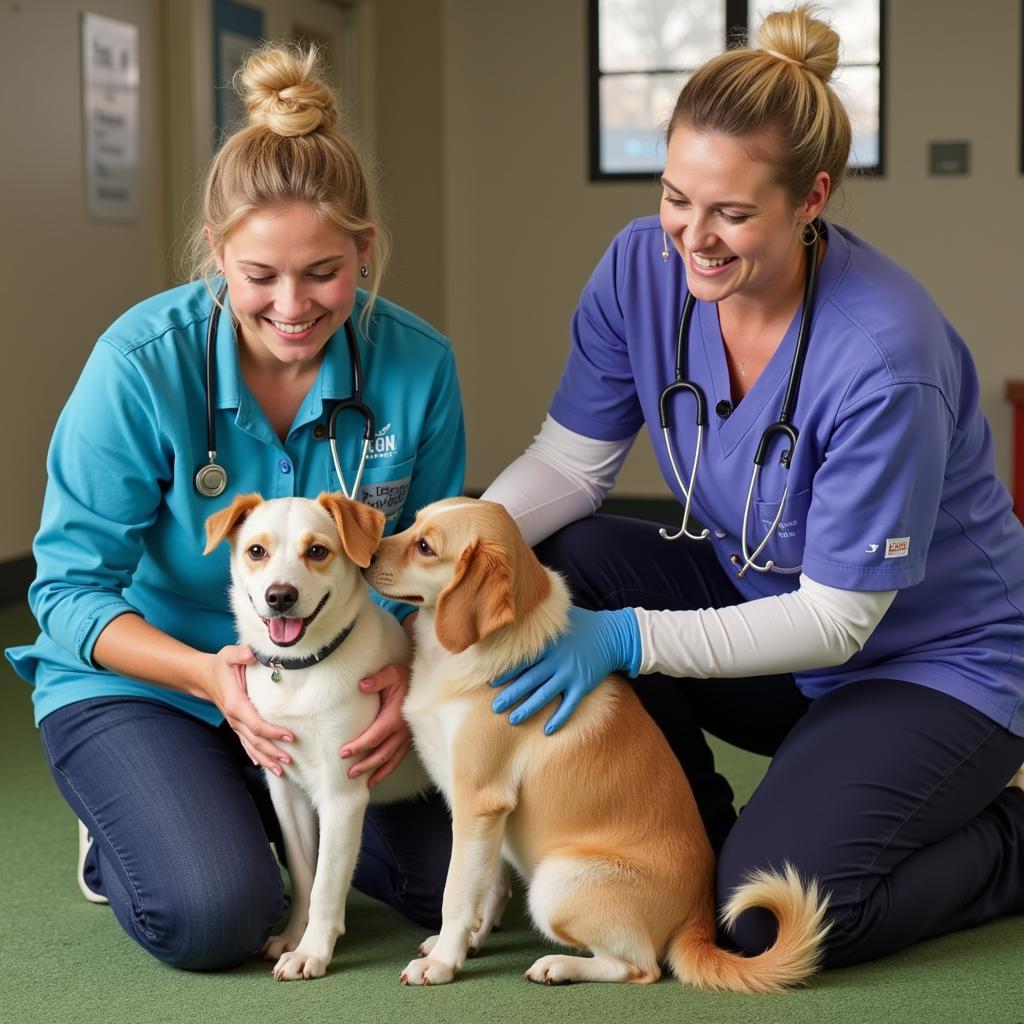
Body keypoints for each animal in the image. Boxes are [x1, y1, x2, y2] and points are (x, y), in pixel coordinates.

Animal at [203, 491, 428, 978]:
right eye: (256, 551)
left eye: (317, 551)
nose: (279, 596)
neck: (299, 671)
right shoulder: (285, 788)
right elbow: (306, 874)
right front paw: (293, 935)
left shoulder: (342, 797)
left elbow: (327, 882)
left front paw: (312, 951)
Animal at [364, 497, 827, 991]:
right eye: (413, 523)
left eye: (426, 547)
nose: (364, 555)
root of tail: (698, 921)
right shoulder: (487, 819)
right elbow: (486, 889)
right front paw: (468, 943)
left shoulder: (478, 803)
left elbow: (456, 894)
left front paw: (443, 963)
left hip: (555, 882)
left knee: (640, 966)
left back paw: (559, 966)